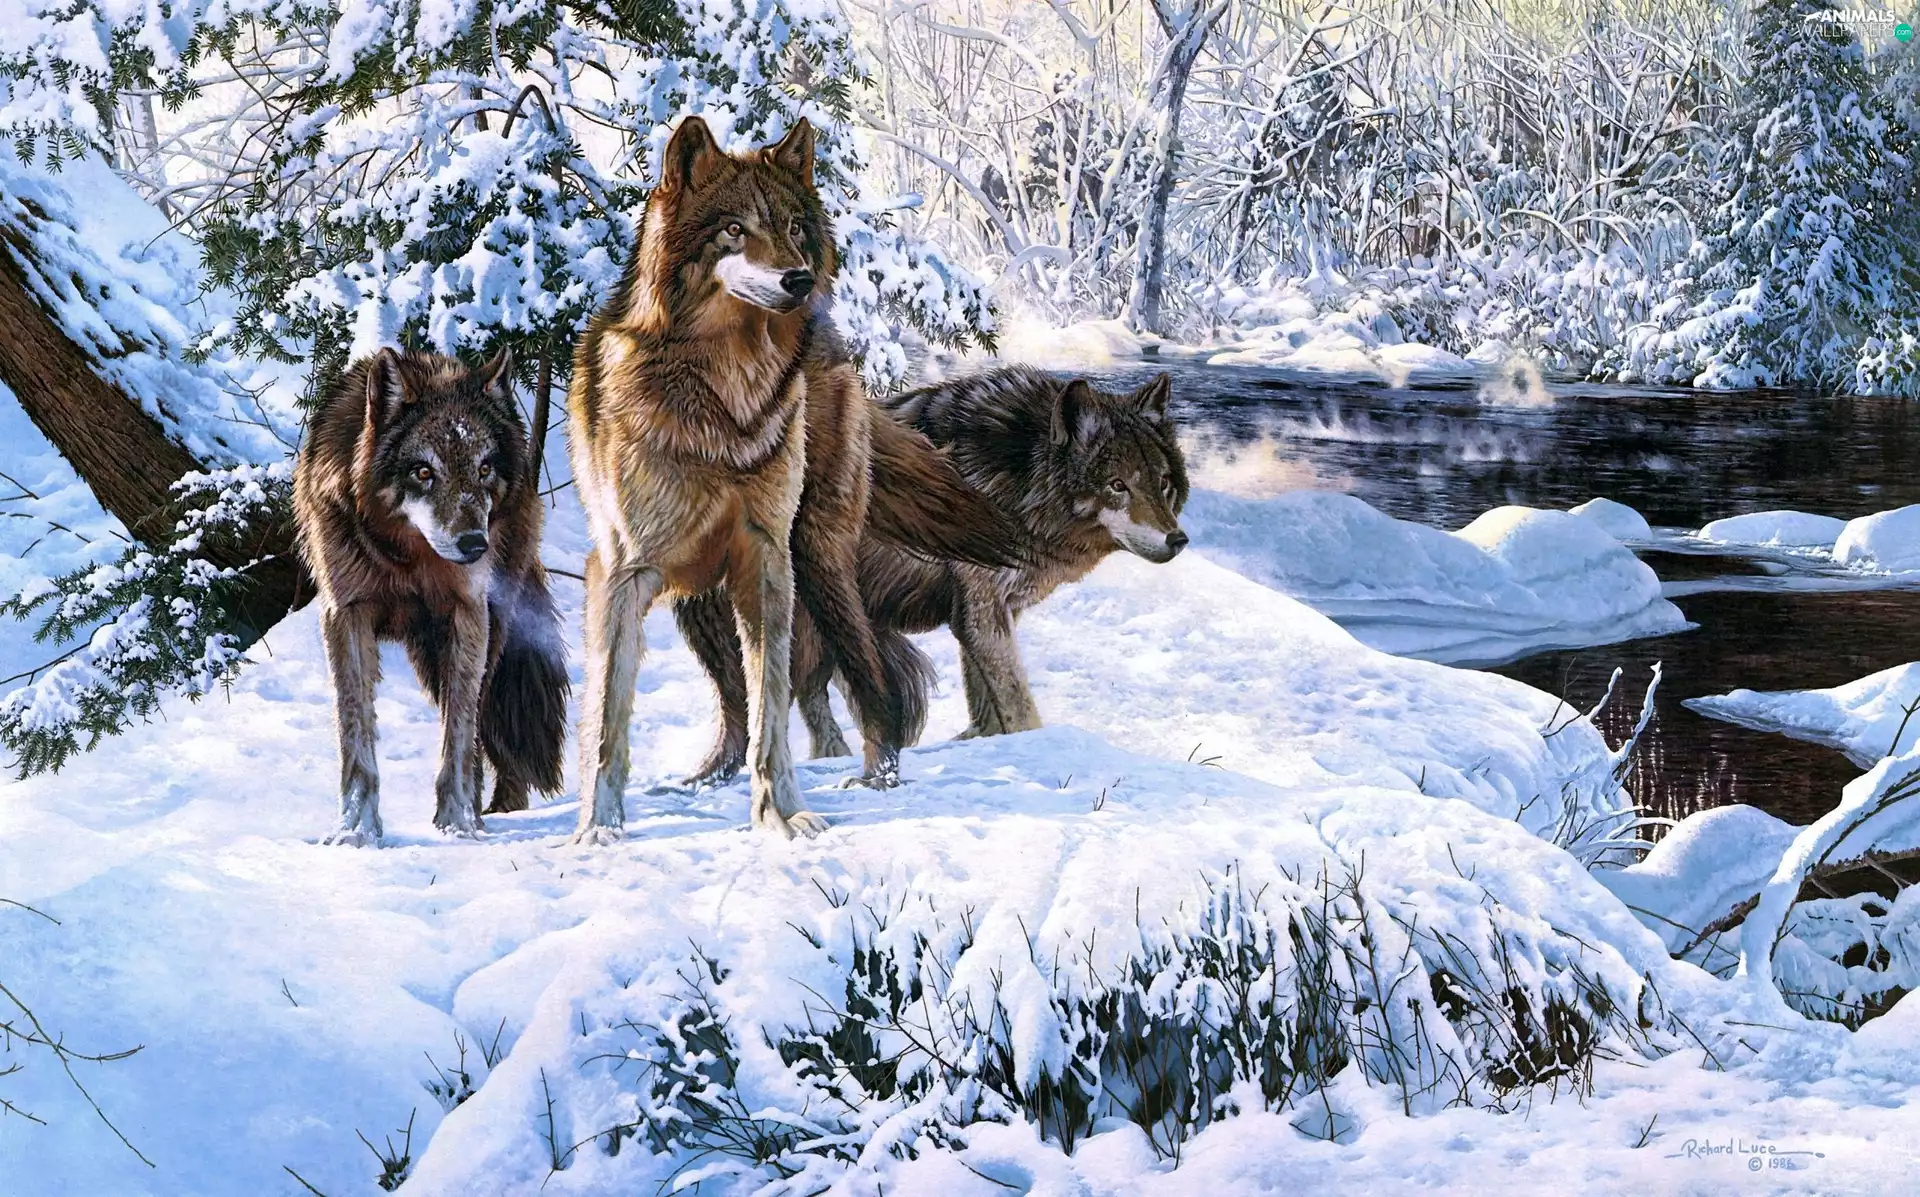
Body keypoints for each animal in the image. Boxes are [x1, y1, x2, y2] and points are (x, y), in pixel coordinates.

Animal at [293, 347, 568, 845]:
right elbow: (355, 730)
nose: (475, 545)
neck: (407, 559)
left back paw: (486, 812)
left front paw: (457, 823)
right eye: (424, 472)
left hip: (481, 634)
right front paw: (356, 830)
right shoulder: (346, 615)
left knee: (479, 718)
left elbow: (459, 733)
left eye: (483, 469)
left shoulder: (467, 613)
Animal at [567, 116, 1024, 842]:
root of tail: (833, 346)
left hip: (816, 558)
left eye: (792, 227)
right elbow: (610, 713)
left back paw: (876, 776)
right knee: (732, 704)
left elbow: (773, 708)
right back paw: (706, 779)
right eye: (733, 230)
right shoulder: (623, 571)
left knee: (869, 679)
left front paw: (782, 817)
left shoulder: (767, 559)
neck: (723, 402)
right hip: (699, 604)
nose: (800, 280)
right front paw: (599, 828)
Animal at [682, 366, 1188, 766]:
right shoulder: (982, 612)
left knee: (807, 700)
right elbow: (1019, 706)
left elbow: (986, 705)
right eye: (1117, 486)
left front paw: (981, 742)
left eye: (1163, 483)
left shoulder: (988, 614)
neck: (1017, 480)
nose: (1178, 540)